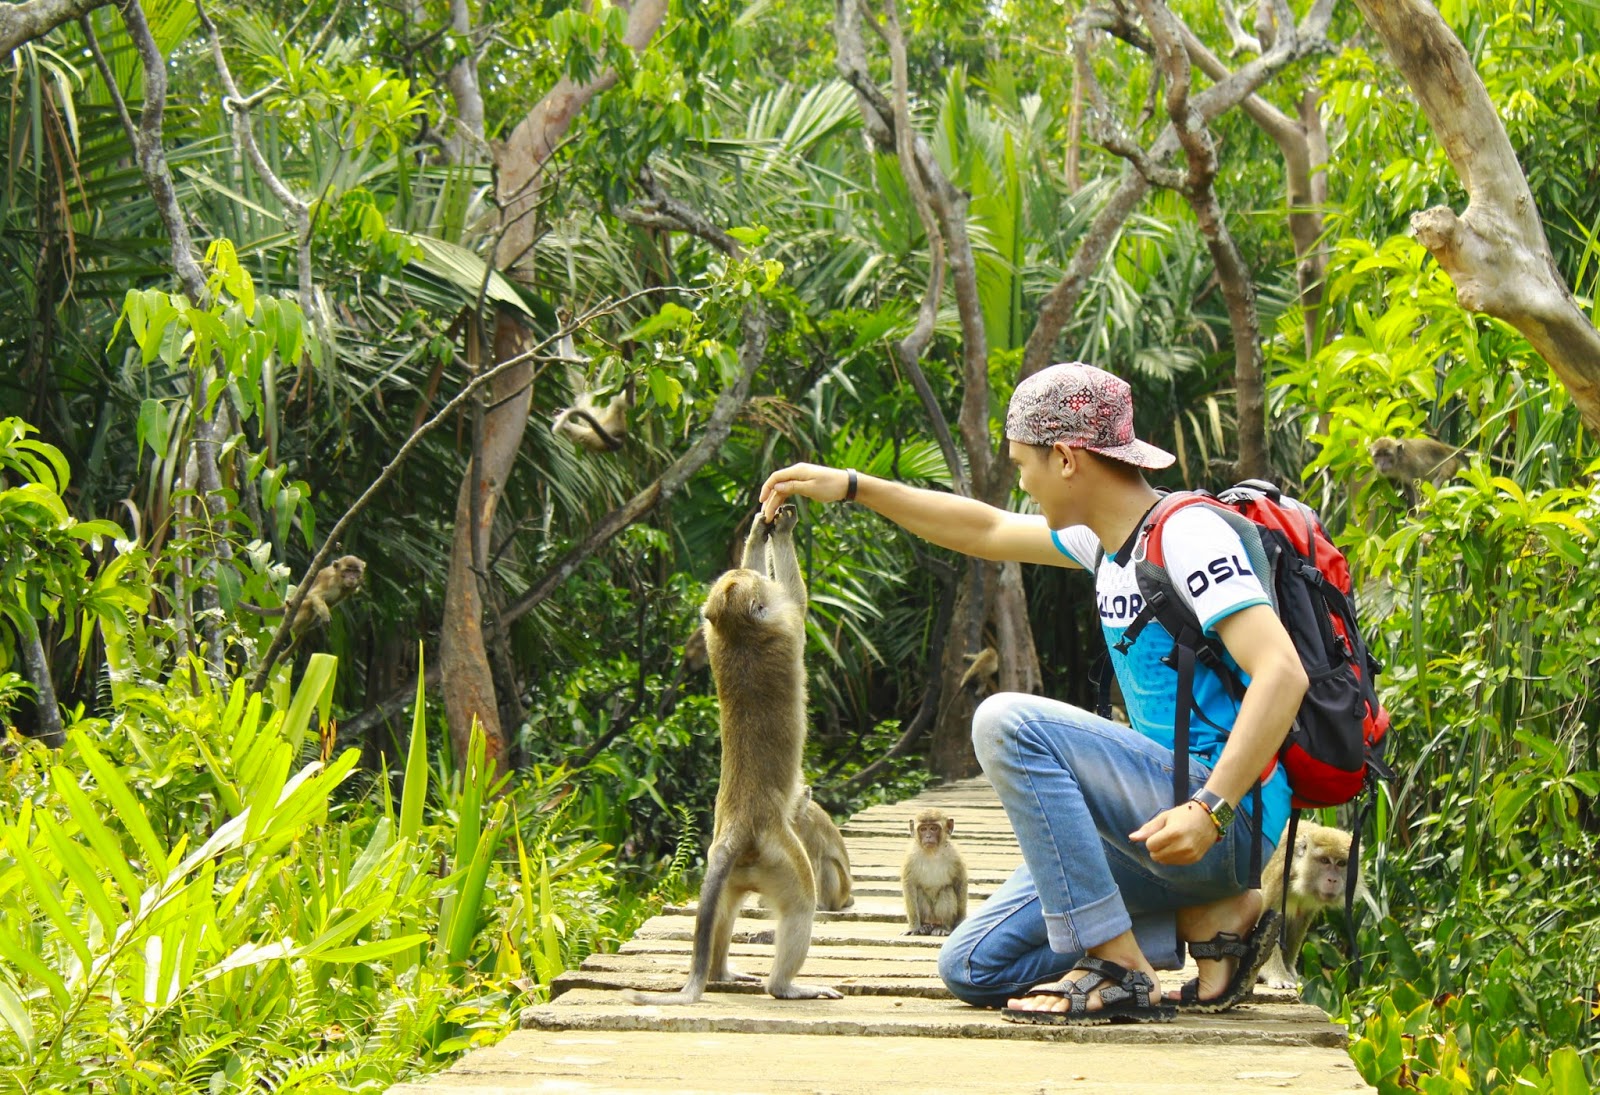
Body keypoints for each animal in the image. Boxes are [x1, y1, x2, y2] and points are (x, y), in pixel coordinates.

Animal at [620, 509, 844, 1005]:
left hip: (737, 867)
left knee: (724, 906)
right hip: (781, 855)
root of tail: (740, 826)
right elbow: (798, 600)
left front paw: (760, 529)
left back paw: (720, 971)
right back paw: (785, 986)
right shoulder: (785, 621)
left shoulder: (711, 635)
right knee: (801, 903)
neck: (739, 633)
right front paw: (781, 529)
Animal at [902, 806, 960, 934]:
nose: (928, 836)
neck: (932, 852)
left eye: (934, 828)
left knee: (946, 890)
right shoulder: (910, 858)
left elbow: (960, 883)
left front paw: (960, 922)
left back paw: (944, 927)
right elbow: (909, 885)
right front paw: (913, 927)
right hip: (929, 916)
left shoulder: (955, 856)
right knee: (919, 892)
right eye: (923, 829)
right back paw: (925, 926)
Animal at [1260, 819, 1363, 992]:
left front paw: (1288, 968)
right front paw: (1278, 975)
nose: (1333, 880)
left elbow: (1300, 919)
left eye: (1341, 863)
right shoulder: (1279, 877)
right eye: (1325, 860)